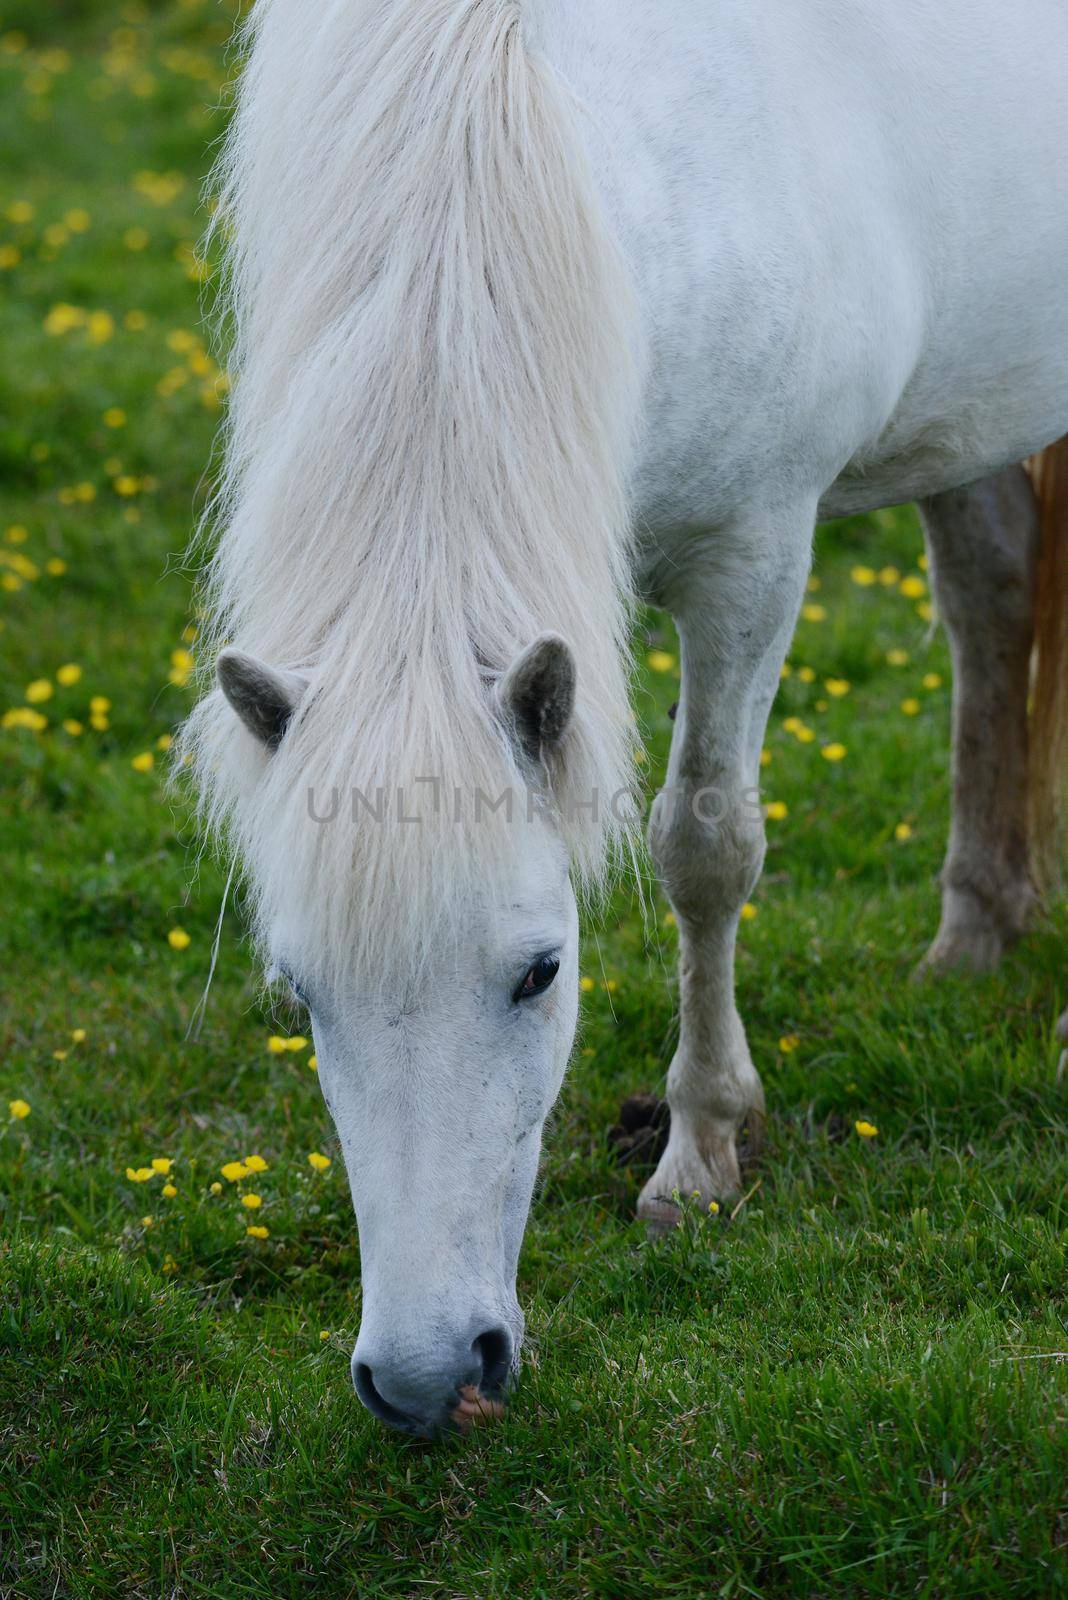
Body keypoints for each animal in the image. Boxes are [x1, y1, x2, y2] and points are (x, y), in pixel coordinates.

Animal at [183, 0, 1068, 1440]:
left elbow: (706, 848)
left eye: (543, 972)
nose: (426, 1378)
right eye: (301, 991)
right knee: (993, 596)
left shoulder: (754, 550)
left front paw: (701, 1150)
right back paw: (974, 936)